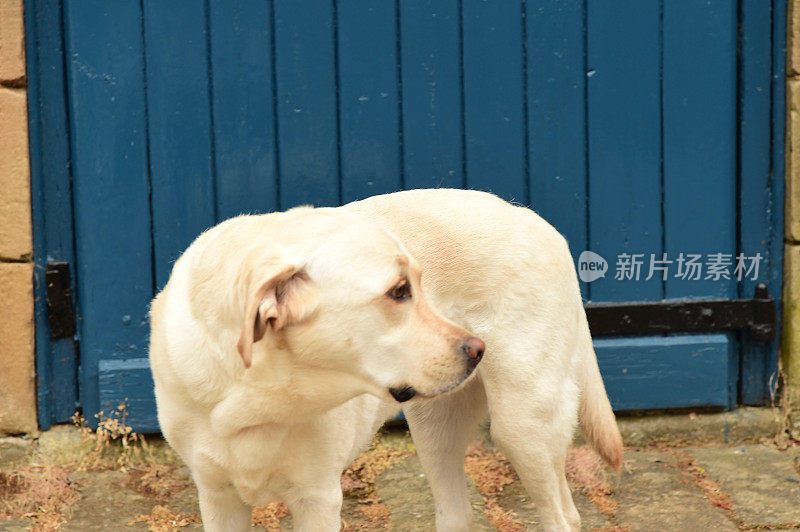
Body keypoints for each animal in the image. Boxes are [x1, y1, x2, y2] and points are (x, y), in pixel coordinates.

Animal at [152, 188, 624, 532]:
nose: (477, 348)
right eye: (399, 291)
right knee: (459, 513)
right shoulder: (217, 496)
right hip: (435, 431)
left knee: (563, 516)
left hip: (522, 427)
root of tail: (535, 220)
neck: (253, 399)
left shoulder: (318, 497)